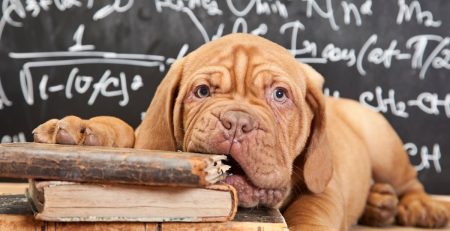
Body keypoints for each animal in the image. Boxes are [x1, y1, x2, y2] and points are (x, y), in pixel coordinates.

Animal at [33, 34, 448, 231]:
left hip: (382, 140)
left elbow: (314, 208)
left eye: (279, 95)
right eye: (202, 92)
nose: (236, 122)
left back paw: (418, 207)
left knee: (409, 182)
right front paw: (79, 131)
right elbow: (123, 131)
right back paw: (380, 204)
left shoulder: (324, 185)